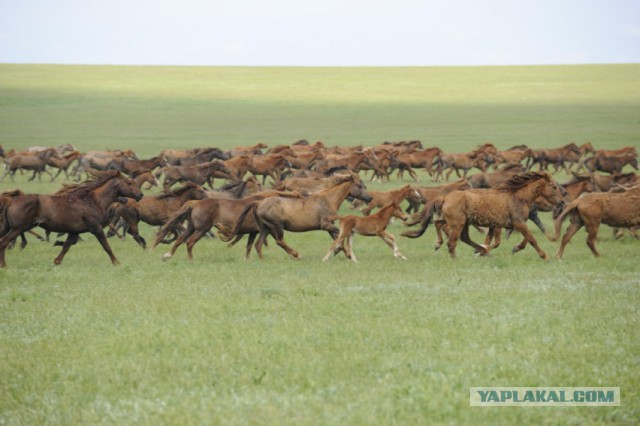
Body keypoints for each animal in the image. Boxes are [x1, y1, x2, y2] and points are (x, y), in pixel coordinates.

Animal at [0, 170, 142, 267]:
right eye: (129, 182)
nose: (140, 195)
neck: (93, 201)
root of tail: (12, 200)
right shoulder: (96, 228)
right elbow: (106, 246)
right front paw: (117, 262)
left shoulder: (74, 231)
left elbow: (67, 245)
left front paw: (57, 260)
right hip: (18, 228)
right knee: (4, 242)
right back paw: (4, 265)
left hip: (12, 228)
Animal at [220, 172, 372, 259]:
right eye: (359, 185)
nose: (369, 198)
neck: (327, 200)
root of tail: (258, 203)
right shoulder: (325, 225)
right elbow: (340, 236)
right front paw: (344, 253)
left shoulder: (329, 226)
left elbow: (337, 238)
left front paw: (343, 253)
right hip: (277, 226)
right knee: (279, 241)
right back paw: (296, 254)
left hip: (265, 228)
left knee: (258, 244)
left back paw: (262, 260)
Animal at [402, 172, 565, 260]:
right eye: (554, 186)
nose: (562, 202)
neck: (517, 197)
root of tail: (445, 197)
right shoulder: (518, 224)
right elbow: (531, 239)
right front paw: (546, 257)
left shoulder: (508, 225)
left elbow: (523, 240)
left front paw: (515, 248)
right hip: (458, 223)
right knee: (452, 241)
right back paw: (457, 257)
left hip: (462, 223)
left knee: (449, 230)